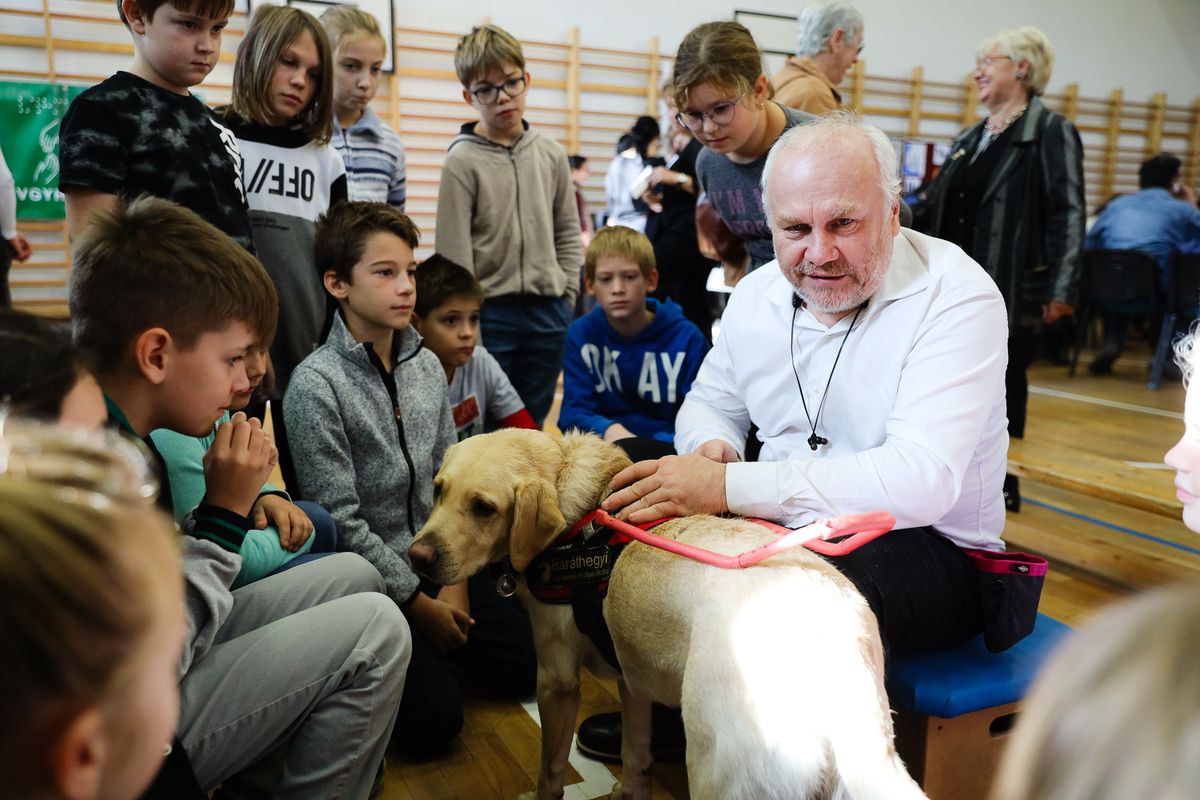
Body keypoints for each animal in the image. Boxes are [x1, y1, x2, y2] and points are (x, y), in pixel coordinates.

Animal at [410, 431, 926, 800]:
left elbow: (549, 773)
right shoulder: (632, 679)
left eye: (484, 508)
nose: (417, 556)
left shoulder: (556, 680)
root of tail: (829, 645)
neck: (579, 516)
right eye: (437, 491)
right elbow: (636, 759)